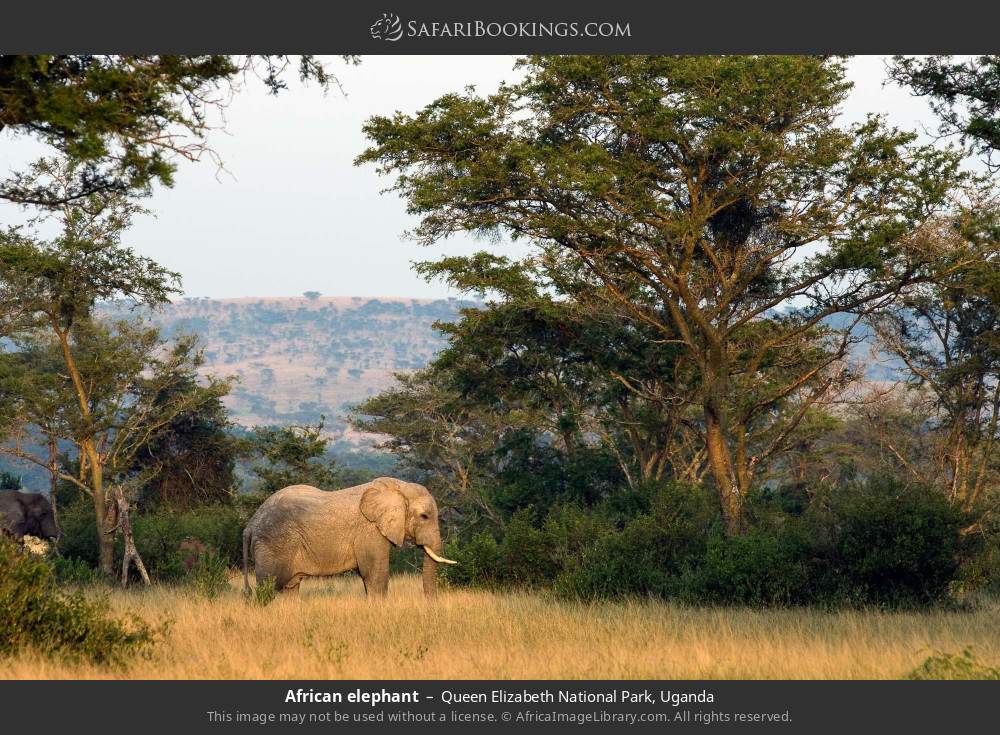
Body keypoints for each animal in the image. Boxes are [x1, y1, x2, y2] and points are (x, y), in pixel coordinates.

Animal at [242, 477, 456, 596]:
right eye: (424, 516)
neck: (398, 487)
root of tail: (250, 525)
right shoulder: (370, 530)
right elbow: (375, 575)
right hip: (272, 544)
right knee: (268, 586)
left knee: (290, 589)